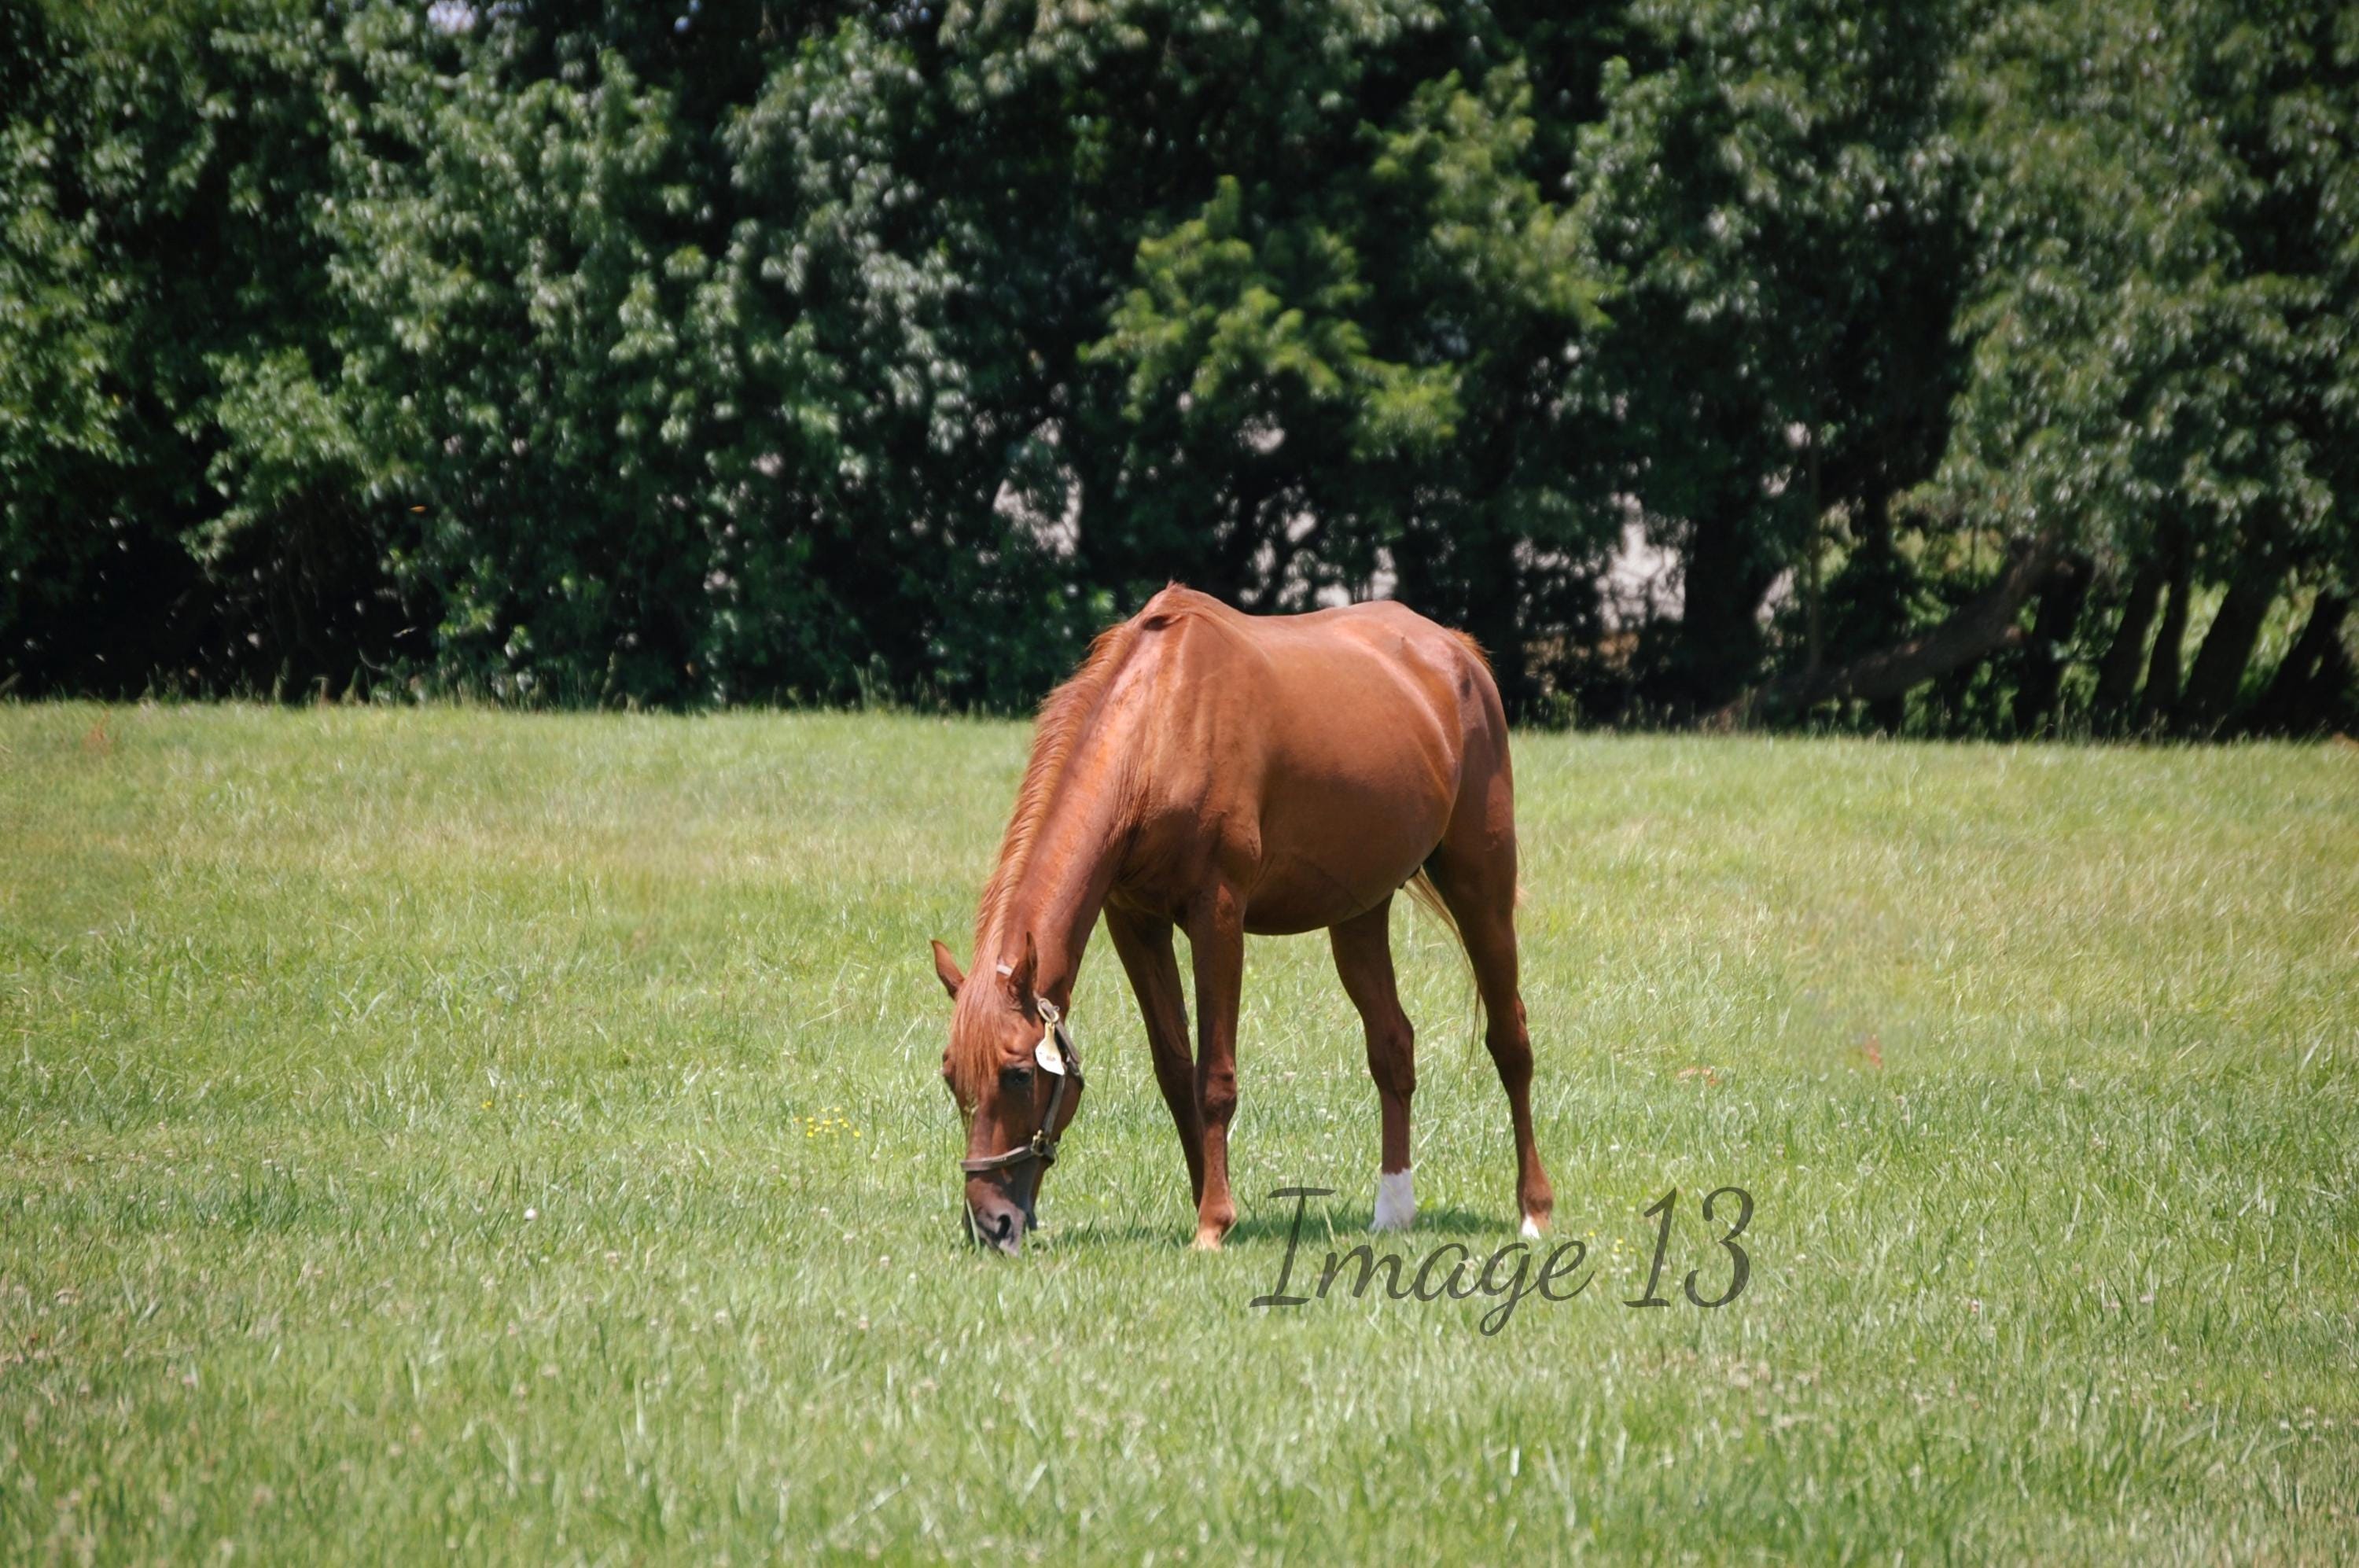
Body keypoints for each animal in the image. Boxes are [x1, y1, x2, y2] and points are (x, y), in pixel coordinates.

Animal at [929, 585, 1554, 1253]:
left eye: (1020, 1075)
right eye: (951, 1077)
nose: (990, 1224)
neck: (1161, 725)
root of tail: (1457, 652)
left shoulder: (1219, 913)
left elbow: (1215, 1076)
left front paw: (1213, 1221)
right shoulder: (1134, 921)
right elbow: (1176, 1070)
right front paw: (1209, 1198)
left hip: (1481, 887)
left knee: (1510, 1040)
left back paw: (1534, 1210)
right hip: (1359, 914)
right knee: (1393, 1047)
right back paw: (1393, 1209)